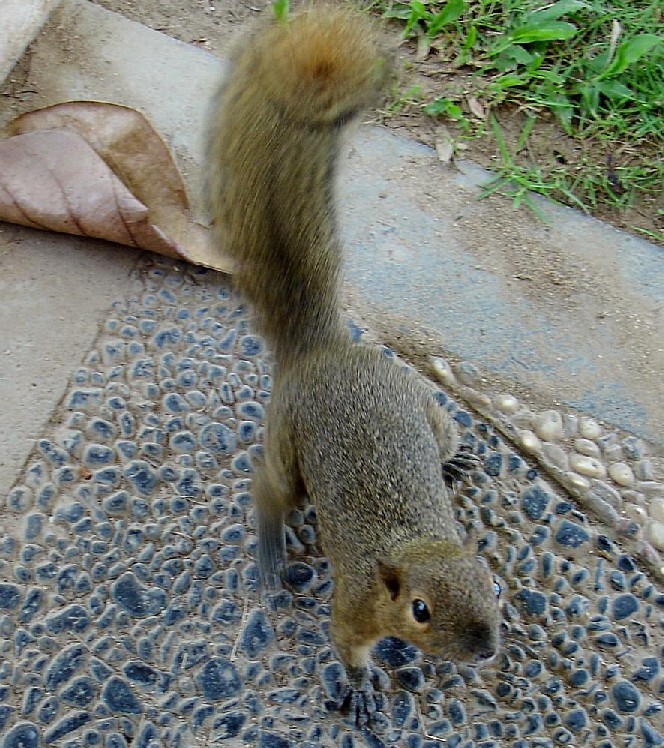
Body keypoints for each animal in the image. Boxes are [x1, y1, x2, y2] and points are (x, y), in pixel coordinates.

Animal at [205, 2, 500, 720]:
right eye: (420, 610)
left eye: (490, 584)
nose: (486, 650)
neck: (414, 543)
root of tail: (324, 349)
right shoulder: (355, 604)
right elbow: (344, 643)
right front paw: (363, 688)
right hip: (289, 442)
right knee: (268, 484)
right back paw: (270, 551)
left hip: (422, 402)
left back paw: (455, 458)